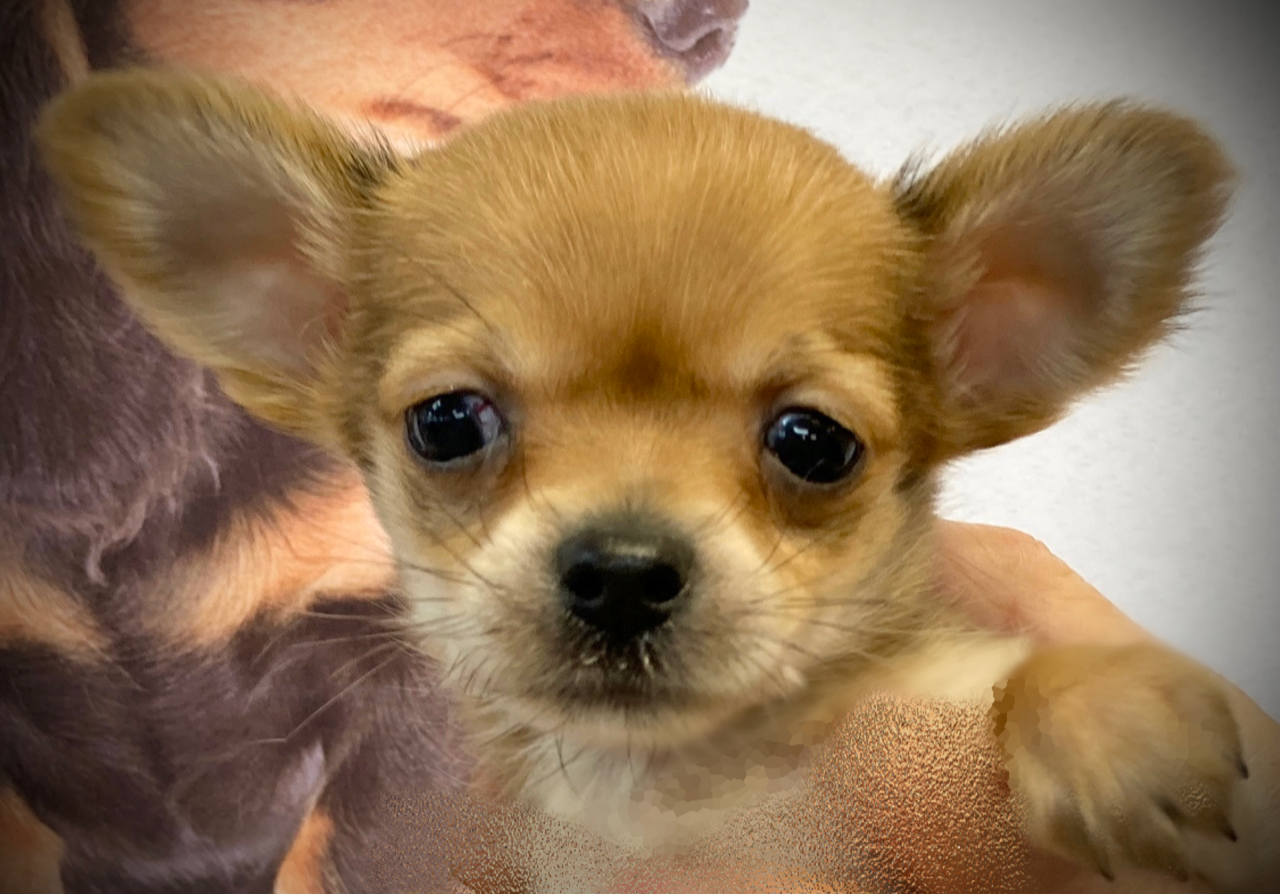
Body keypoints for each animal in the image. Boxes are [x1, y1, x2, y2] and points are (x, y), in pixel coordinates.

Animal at [35, 67, 1265, 891]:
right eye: (446, 423)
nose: (622, 571)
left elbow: (1044, 677)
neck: (666, 795)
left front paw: (1122, 726)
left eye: (813, 443)